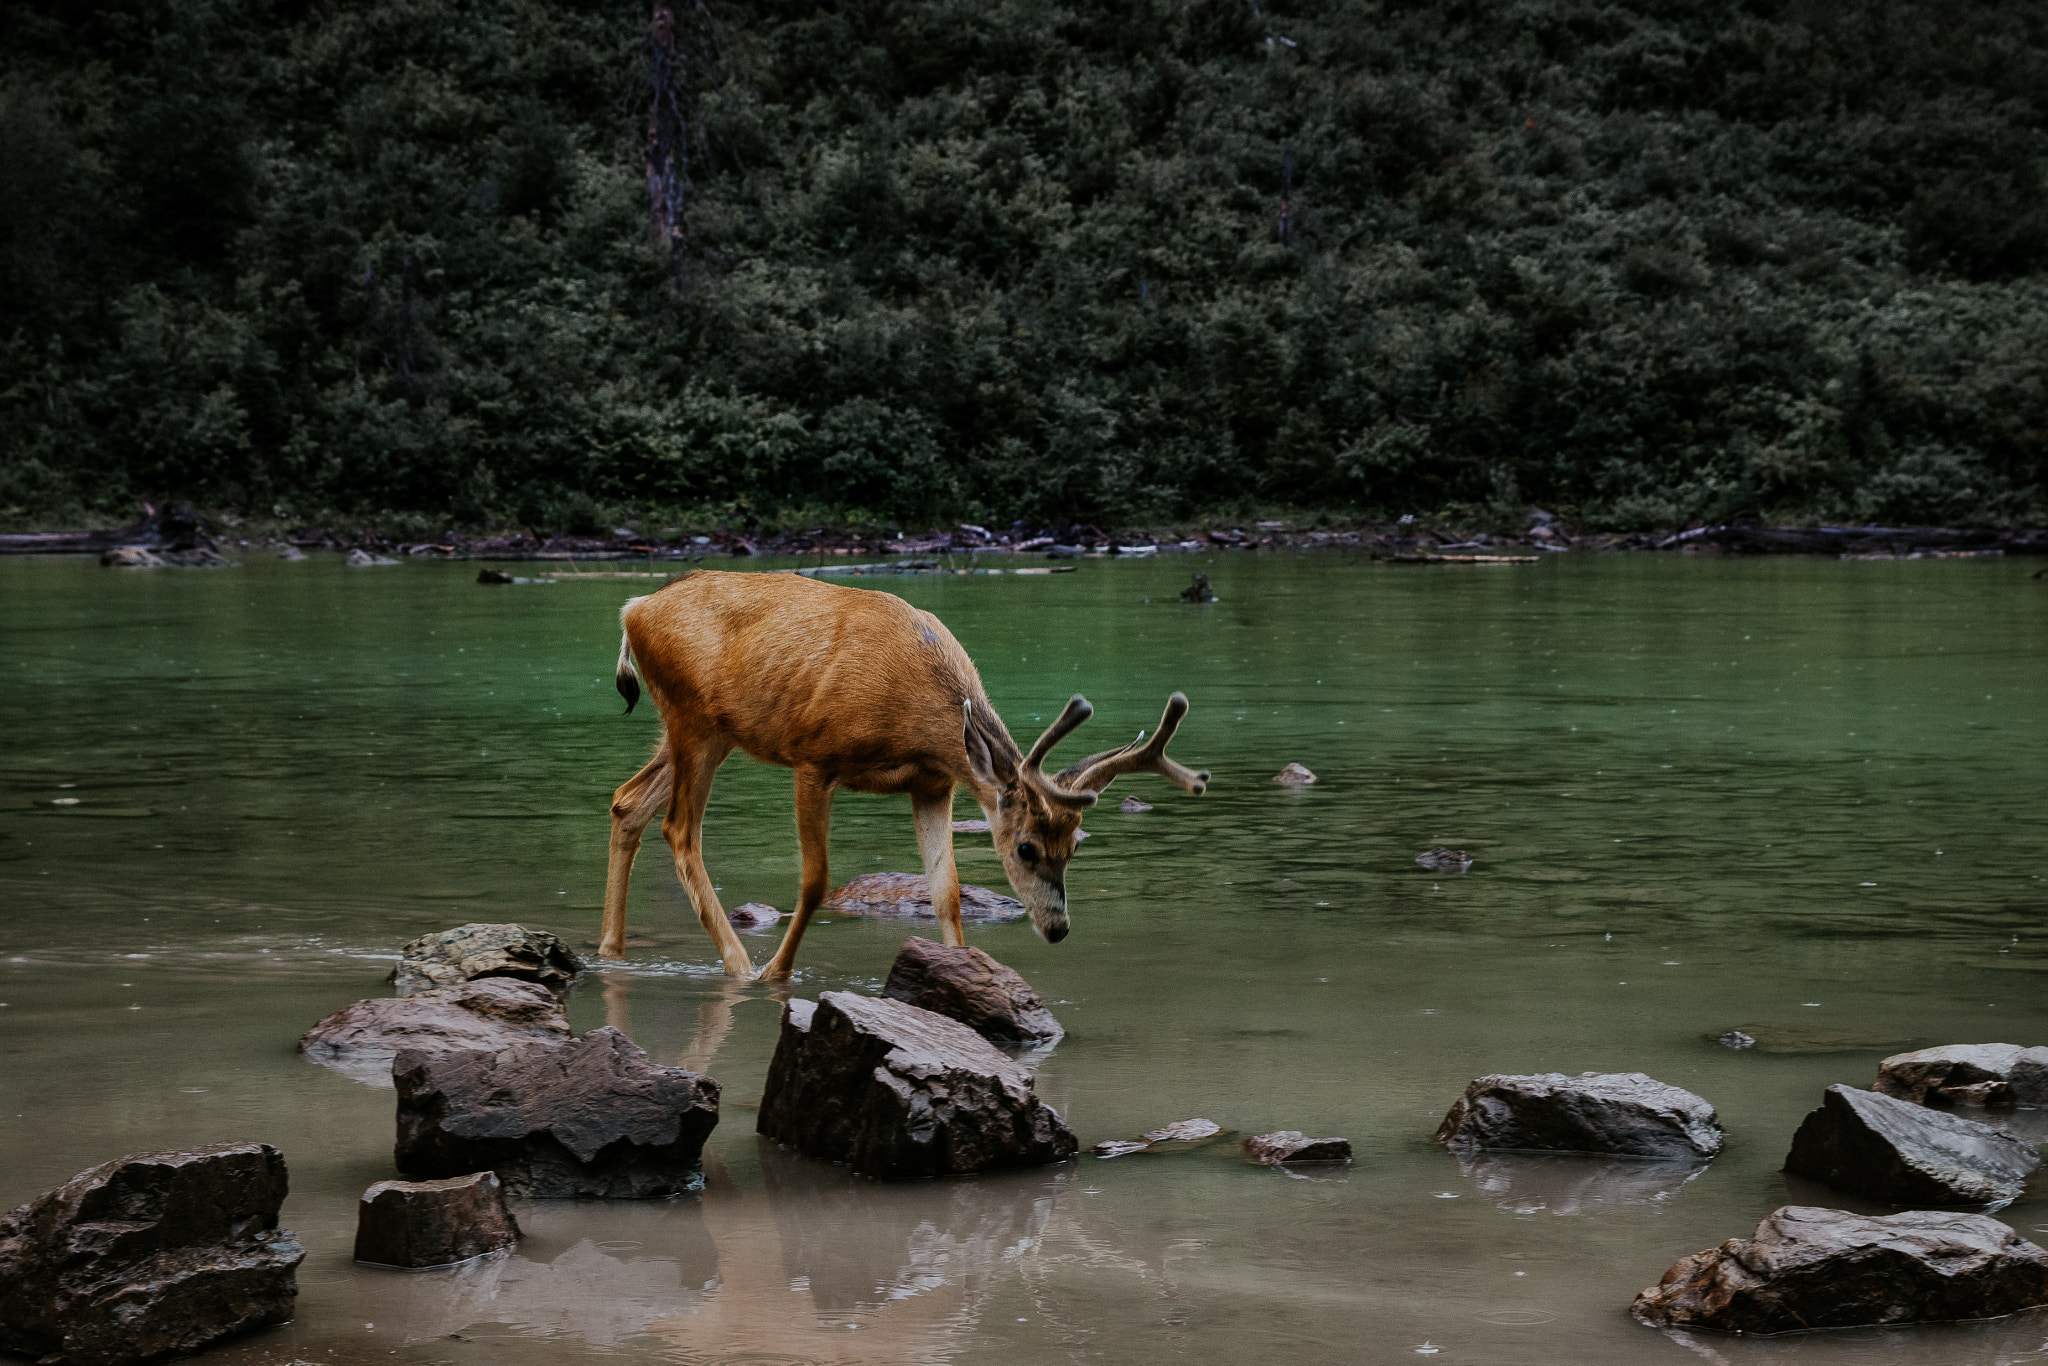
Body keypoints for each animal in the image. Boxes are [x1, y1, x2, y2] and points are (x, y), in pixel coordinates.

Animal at [600, 569, 1207, 979]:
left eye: (1076, 846)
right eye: (1026, 848)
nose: (1057, 929)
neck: (914, 717)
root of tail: (633, 610)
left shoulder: (933, 783)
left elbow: (948, 891)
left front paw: (964, 972)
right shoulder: (814, 757)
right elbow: (815, 879)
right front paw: (778, 974)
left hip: (709, 729)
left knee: (627, 801)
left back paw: (611, 949)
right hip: (692, 718)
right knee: (679, 829)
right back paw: (741, 966)